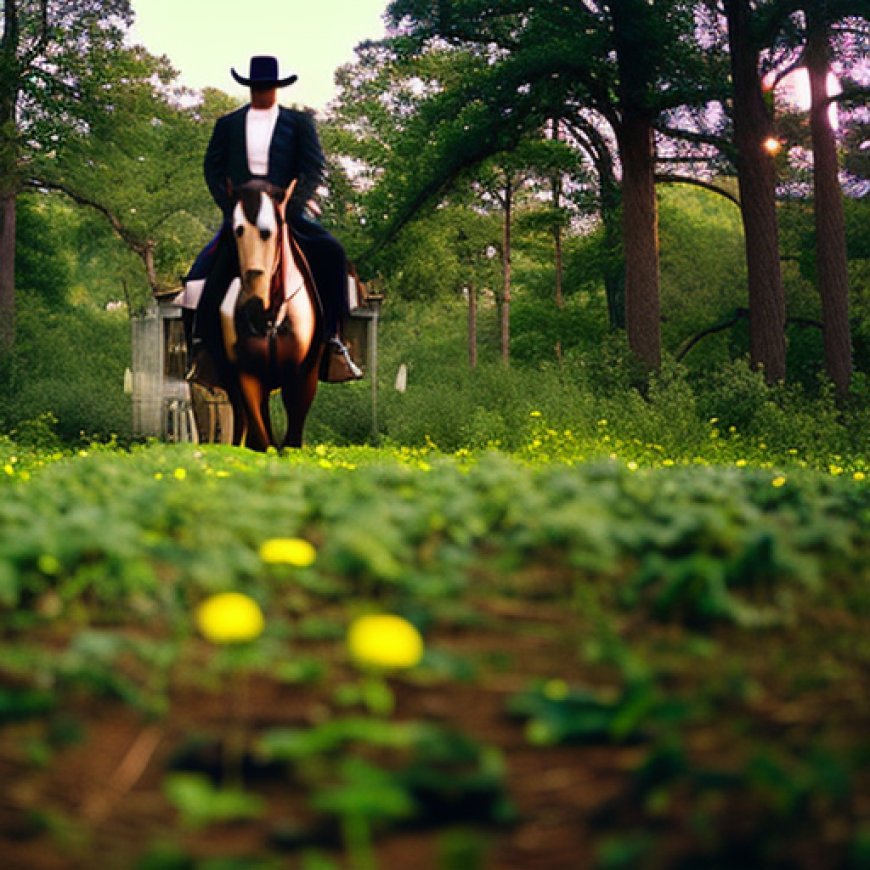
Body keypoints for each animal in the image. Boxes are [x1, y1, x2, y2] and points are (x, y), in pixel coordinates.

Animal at [220, 177, 326, 450]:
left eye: (269, 232)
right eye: (237, 230)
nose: (253, 307)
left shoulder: (302, 377)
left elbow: (292, 439)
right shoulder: (248, 376)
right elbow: (261, 438)